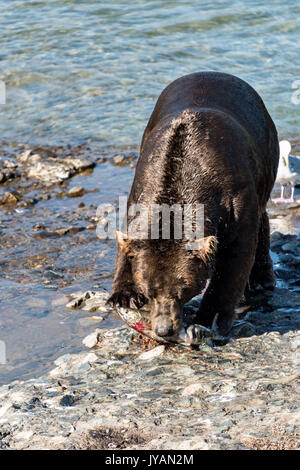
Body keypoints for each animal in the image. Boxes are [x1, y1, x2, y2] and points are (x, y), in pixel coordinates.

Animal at [108, 71, 278, 338]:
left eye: (183, 290)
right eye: (148, 290)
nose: (164, 330)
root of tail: (216, 73)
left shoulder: (234, 200)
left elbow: (234, 258)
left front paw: (210, 318)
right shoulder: (141, 185)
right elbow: (130, 238)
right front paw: (123, 295)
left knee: (262, 216)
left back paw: (262, 279)